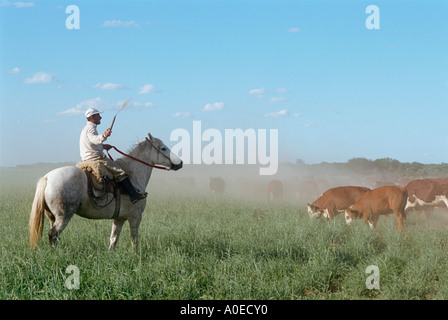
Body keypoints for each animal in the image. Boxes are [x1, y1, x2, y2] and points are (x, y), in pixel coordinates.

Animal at [29, 132, 182, 250]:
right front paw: (136, 256)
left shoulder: (119, 219)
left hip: (52, 216)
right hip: (64, 216)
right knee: (53, 234)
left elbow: (113, 239)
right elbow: (134, 239)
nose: (180, 163)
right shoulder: (135, 217)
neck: (133, 176)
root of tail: (47, 178)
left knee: (54, 236)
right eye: (163, 148)